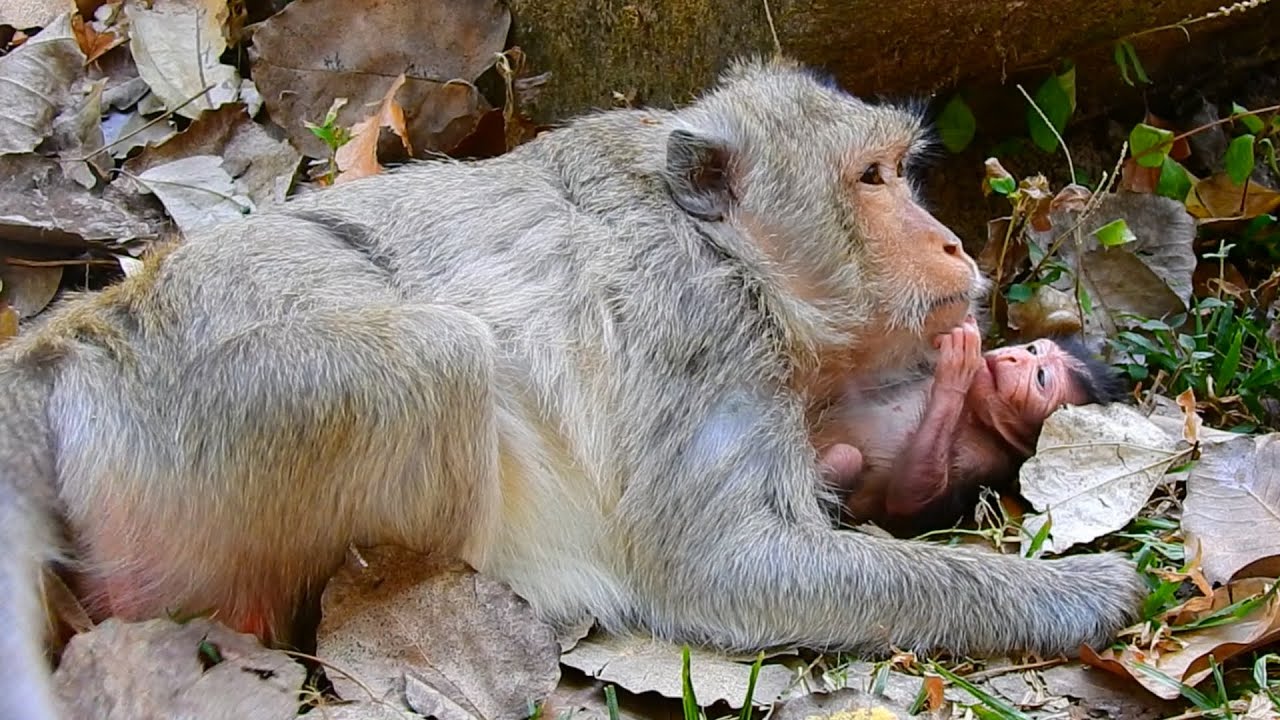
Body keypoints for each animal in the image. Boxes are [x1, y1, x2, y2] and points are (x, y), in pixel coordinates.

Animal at [811, 317, 1129, 537]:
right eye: (1032, 349)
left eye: (1040, 377)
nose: (1013, 356)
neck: (973, 412)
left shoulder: (984, 461)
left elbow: (905, 504)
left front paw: (956, 370)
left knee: (846, 456)